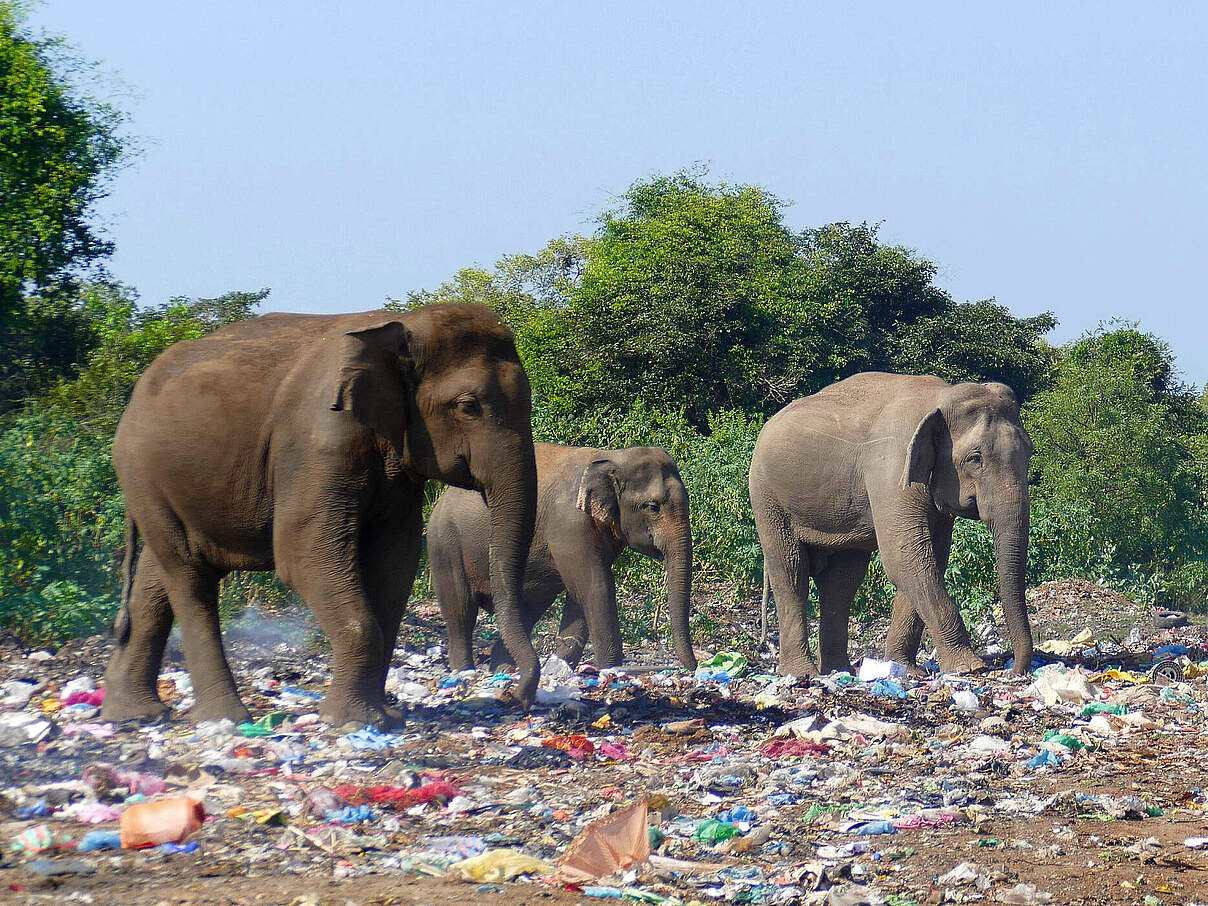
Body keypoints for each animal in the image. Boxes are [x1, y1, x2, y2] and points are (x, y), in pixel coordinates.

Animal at [102, 305, 538, 729]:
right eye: (468, 406)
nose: (515, 697)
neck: (402, 323)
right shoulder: (319, 442)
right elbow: (302, 555)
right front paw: (350, 722)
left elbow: (394, 563)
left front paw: (384, 718)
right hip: (141, 474)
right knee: (190, 576)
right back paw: (224, 718)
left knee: (156, 576)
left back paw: (134, 714)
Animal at [427, 446, 700, 676]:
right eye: (652, 507)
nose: (693, 667)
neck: (613, 457)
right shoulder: (568, 523)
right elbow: (596, 586)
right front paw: (611, 669)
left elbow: (580, 594)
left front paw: (561, 669)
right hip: (446, 544)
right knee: (461, 611)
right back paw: (465, 671)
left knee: (527, 609)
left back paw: (503, 670)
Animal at [748, 372, 1034, 676]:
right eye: (975, 458)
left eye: (1029, 453)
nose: (1012, 671)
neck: (940, 396)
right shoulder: (889, 466)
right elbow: (906, 557)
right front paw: (969, 669)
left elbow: (929, 559)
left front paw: (905, 669)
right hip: (766, 496)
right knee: (791, 570)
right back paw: (802, 673)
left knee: (842, 580)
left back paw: (840, 671)